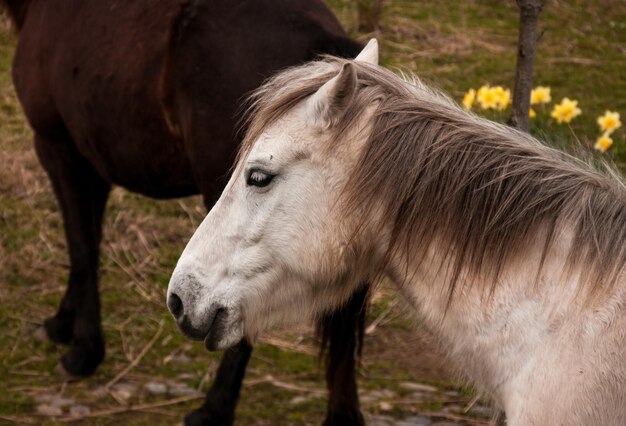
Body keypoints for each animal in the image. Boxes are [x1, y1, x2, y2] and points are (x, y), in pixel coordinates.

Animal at [2, 1, 366, 424]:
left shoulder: (58, 150)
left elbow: (81, 250)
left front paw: (83, 351)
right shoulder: (93, 166)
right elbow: (88, 241)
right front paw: (63, 323)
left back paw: (214, 408)